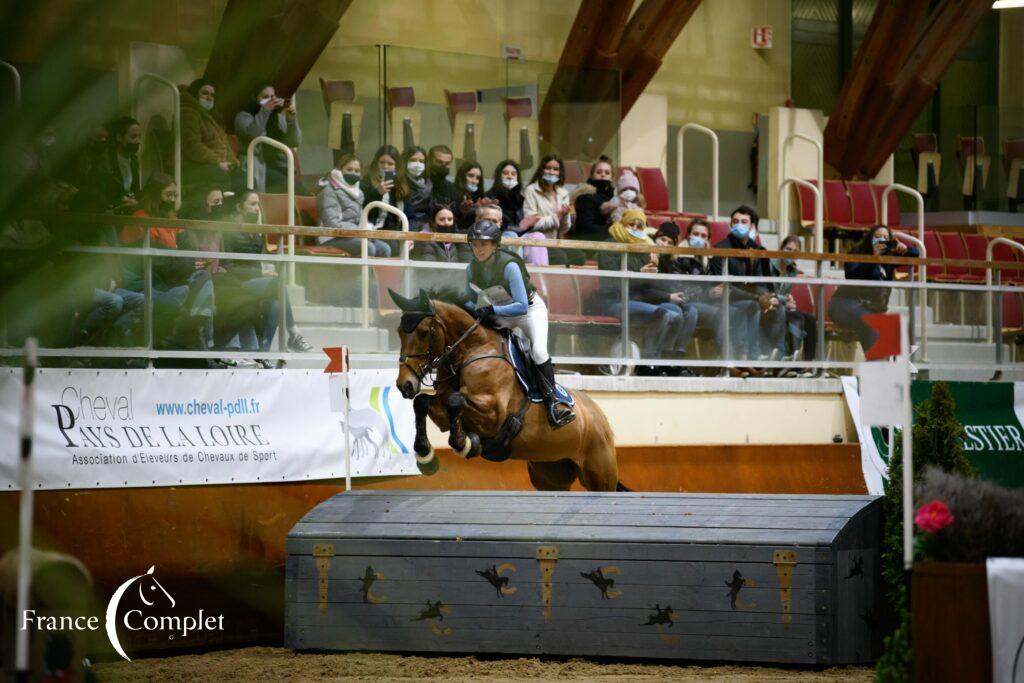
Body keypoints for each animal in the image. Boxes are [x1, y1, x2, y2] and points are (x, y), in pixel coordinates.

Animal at [387, 288, 618, 491]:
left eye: (424, 332)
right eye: (398, 332)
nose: (404, 385)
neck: (469, 351)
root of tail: (599, 415)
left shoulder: (493, 416)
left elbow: (455, 400)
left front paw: (465, 443)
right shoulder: (444, 413)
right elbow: (423, 401)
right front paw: (425, 455)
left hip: (600, 475)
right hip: (550, 472)